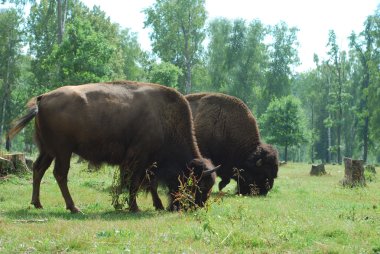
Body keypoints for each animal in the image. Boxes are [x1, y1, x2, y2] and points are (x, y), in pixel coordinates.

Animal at [7, 81, 218, 212]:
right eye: (200, 184)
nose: (197, 207)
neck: (164, 120)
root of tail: (42, 98)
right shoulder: (139, 158)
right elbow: (135, 182)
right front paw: (134, 207)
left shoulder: (148, 163)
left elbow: (149, 183)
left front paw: (156, 205)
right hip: (63, 151)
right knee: (60, 174)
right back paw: (74, 208)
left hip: (48, 150)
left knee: (38, 169)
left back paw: (37, 203)